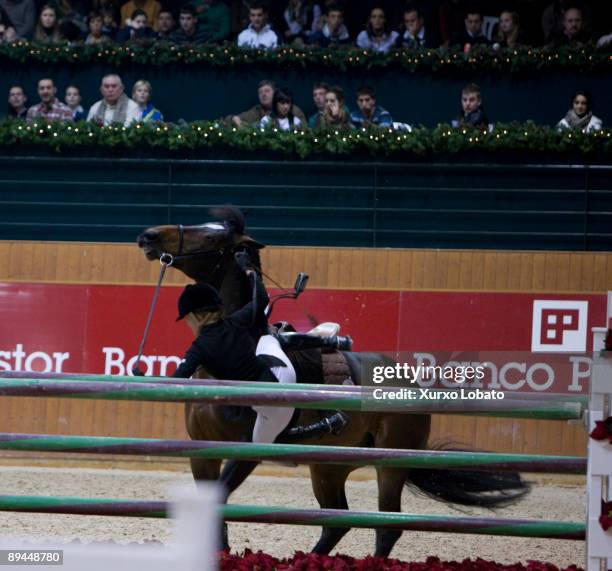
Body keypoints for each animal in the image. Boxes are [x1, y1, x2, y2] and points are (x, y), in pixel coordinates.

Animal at [136, 207, 528, 560]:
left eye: (212, 237)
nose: (150, 236)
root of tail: (407, 380)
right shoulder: (202, 453)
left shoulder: (250, 449)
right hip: (328, 466)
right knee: (337, 521)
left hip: (390, 466)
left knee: (387, 526)